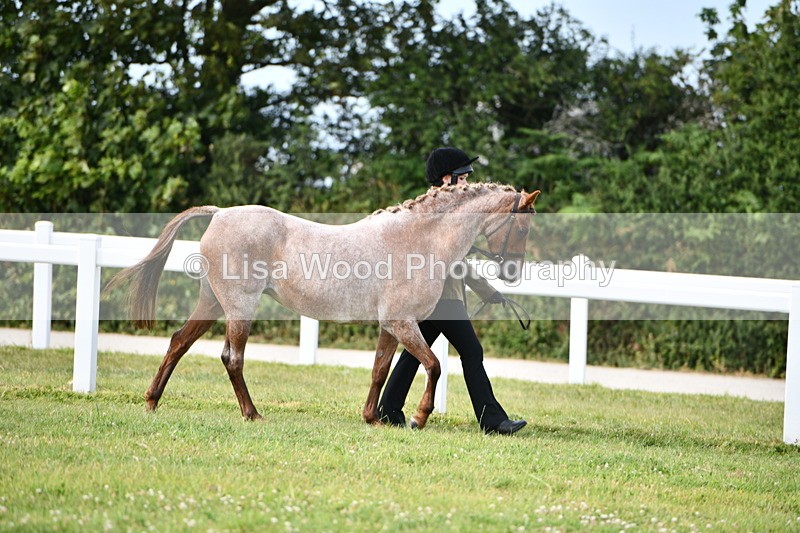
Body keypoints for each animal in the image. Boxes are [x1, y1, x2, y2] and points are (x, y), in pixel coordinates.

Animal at [107, 183, 540, 429]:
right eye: (522, 226)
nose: (513, 273)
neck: (420, 239)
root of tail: (220, 214)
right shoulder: (402, 322)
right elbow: (433, 365)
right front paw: (419, 417)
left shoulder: (390, 327)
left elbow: (380, 371)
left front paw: (373, 419)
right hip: (239, 307)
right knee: (232, 358)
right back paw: (252, 414)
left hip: (213, 302)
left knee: (179, 342)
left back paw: (152, 401)